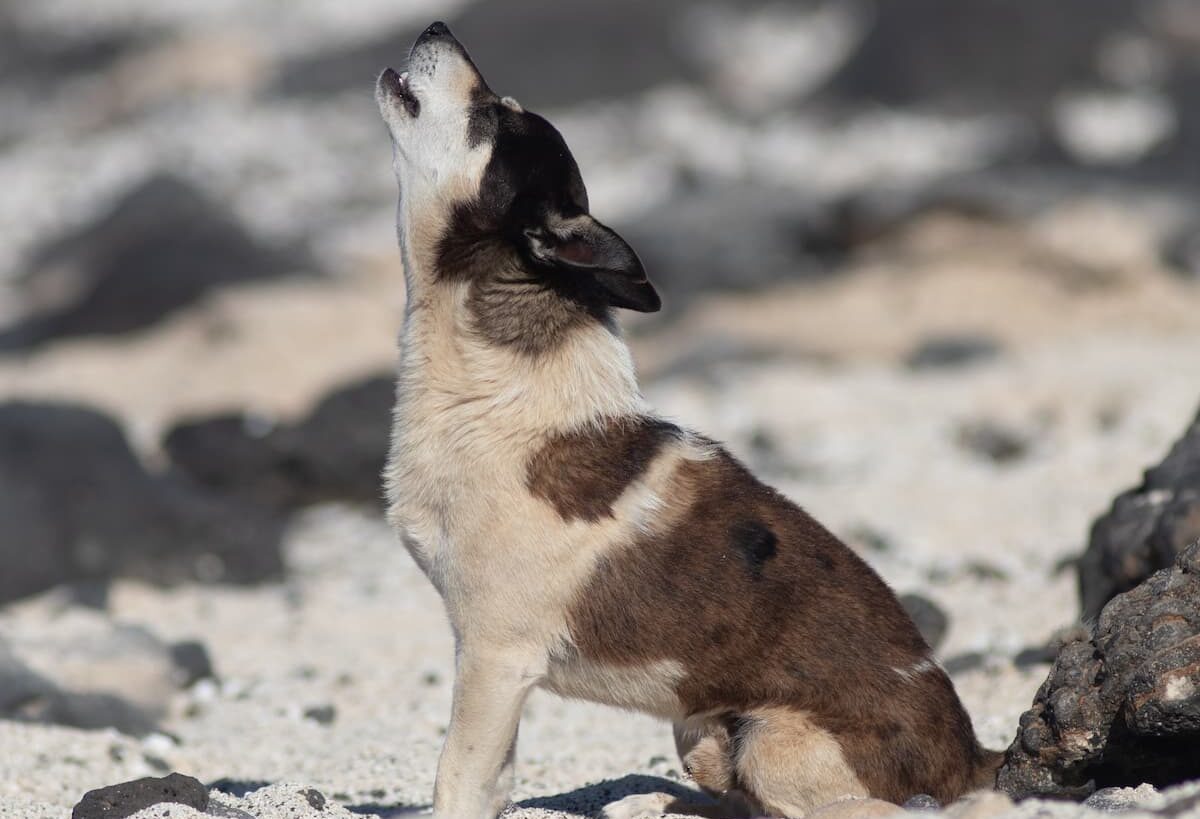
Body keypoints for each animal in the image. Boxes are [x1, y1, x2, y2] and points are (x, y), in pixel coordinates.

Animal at [376, 22, 1003, 811]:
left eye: (492, 115)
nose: (437, 27)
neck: (490, 386)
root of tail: (973, 755)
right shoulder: (494, 672)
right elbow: (492, 783)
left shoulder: (495, 658)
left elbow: (456, 776)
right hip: (701, 732)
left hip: (774, 741)